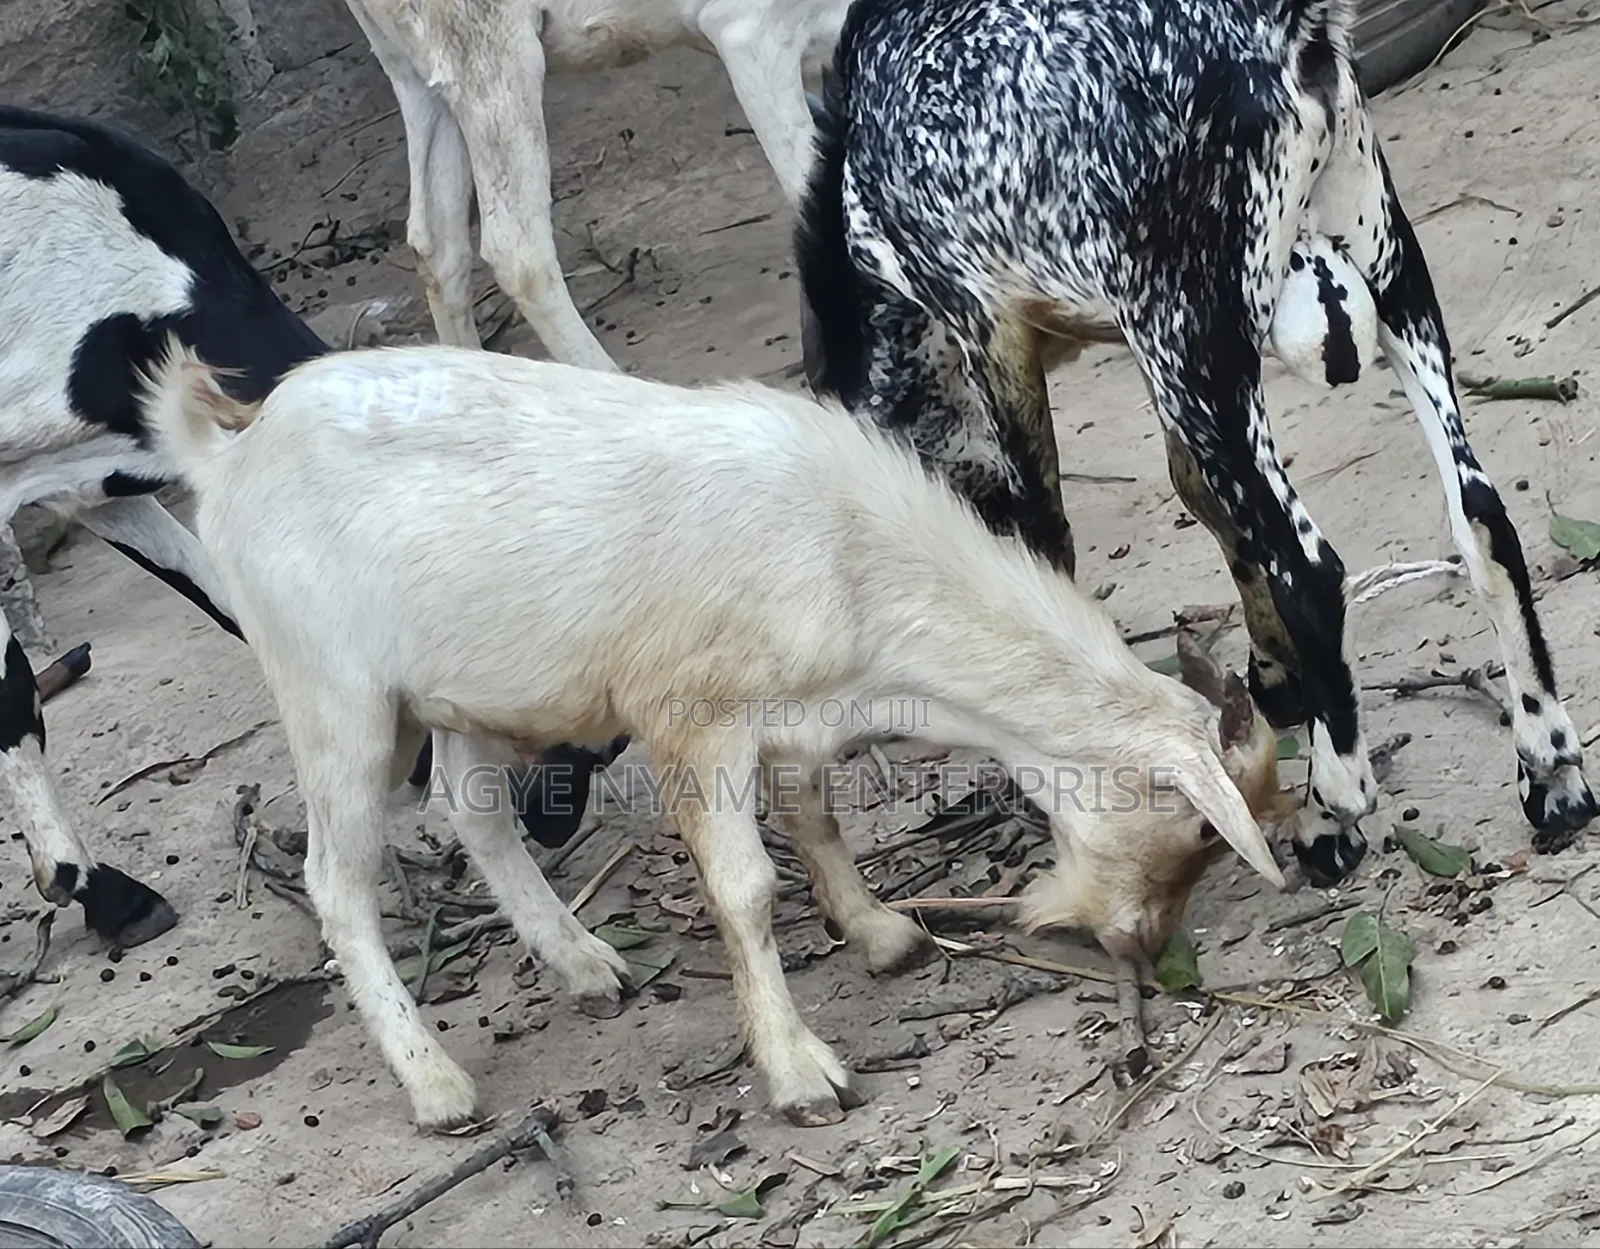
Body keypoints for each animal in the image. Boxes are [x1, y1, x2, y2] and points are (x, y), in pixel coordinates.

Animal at [141, 335, 1290, 1129]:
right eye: (1198, 829)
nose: (1138, 943)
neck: (848, 550)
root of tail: (231, 448)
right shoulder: (689, 716)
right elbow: (745, 890)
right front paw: (798, 1072)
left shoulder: (790, 715)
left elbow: (817, 820)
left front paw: (880, 934)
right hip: (333, 692)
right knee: (338, 882)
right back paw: (436, 1086)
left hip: (469, 688)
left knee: (478, 818)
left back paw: (585, 964)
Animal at [794, 0, 1596, 890]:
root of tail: (1285, 34)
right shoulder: (1142, 341)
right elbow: (1196, 486)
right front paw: (1273, 674)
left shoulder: (987, 316)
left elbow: (1049, 537)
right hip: (1382, 261)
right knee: (1481, 515)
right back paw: (1550, 765)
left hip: (1197, 329)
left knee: (1315, 571)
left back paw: (1333, 808)